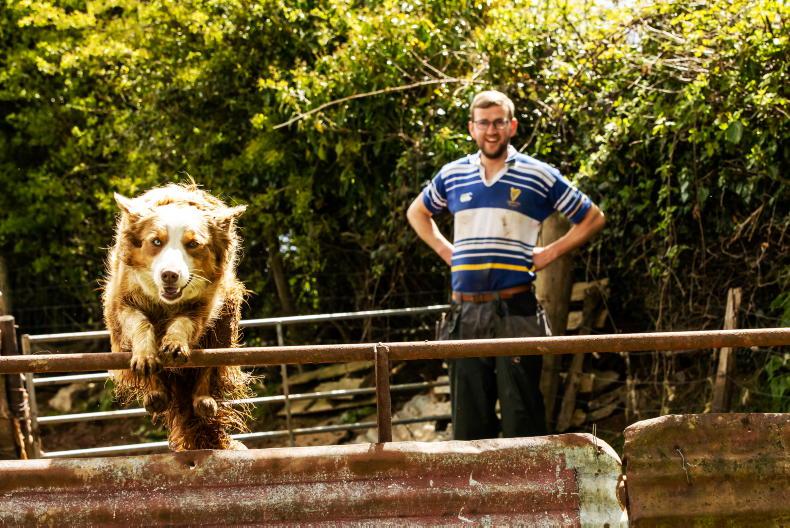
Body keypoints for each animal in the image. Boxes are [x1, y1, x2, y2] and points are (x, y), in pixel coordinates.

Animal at [103, 183, 251, 450]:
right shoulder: (122, 302)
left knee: (209, 364)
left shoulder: (205, 305)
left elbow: (183, 324)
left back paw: (203, 400)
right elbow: (140, 323)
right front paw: (146, 355)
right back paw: (156, 394)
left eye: (193, 244)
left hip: (226, 321)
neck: (166, 303)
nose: (169, 275)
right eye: (156, 241)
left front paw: (174, 343)